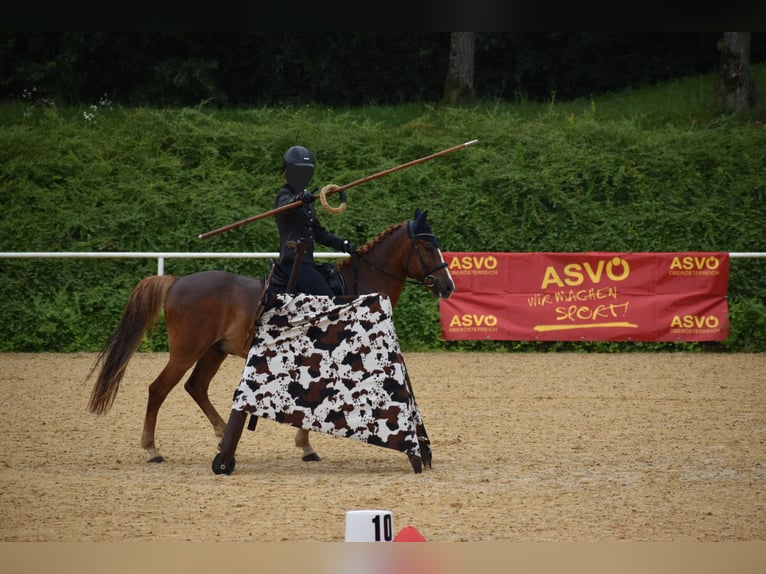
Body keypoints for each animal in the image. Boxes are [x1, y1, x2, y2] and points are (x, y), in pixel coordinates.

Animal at [87, 209, 456, 466]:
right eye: (427, 245)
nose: (448, 285)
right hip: (186, 351)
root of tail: (177, 281)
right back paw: (152, 449)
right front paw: (306, 444)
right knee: (159, 389)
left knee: (196, 387)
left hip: (214, 351)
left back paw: (221, 437)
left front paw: (306, 446)